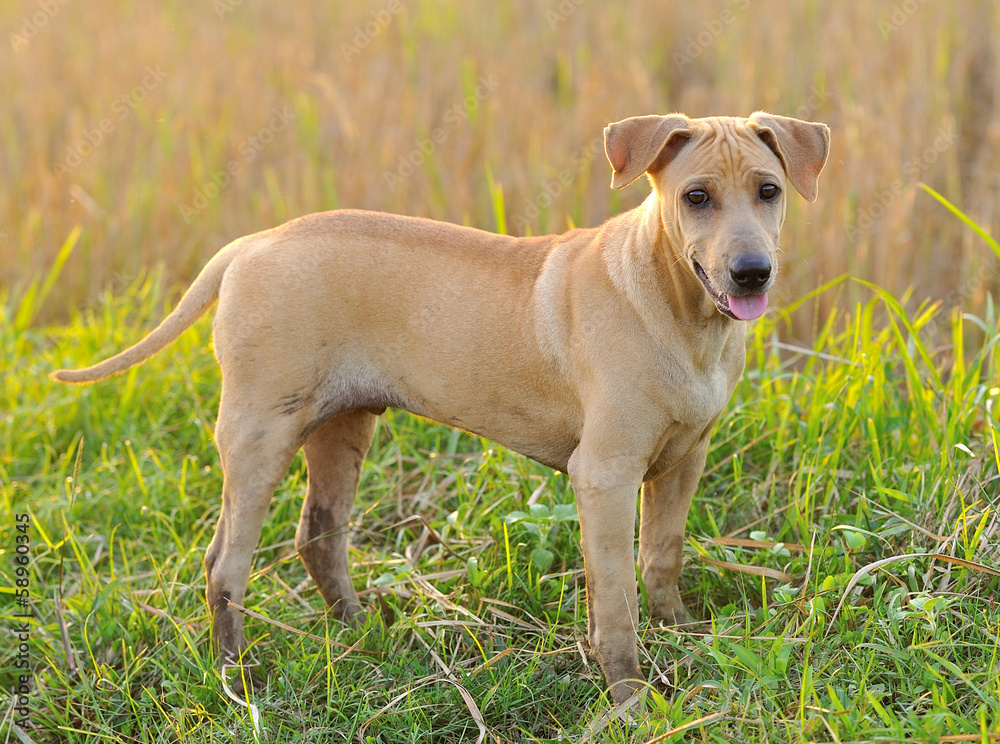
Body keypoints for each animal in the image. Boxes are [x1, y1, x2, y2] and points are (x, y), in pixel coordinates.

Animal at [50, 110, 828, 704]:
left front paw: (679, 633)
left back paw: (360, 632)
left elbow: (662, 557)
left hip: (342, 425)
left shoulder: (684, 459)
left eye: (768, 190)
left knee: (318, 534)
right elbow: (615, 600)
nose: (751, 273)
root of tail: (249, 244)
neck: (680, 309)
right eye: (696, 197)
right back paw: (235, 675)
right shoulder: (603, 474)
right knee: (225, 564)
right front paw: (629, 696)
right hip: (258, 433)